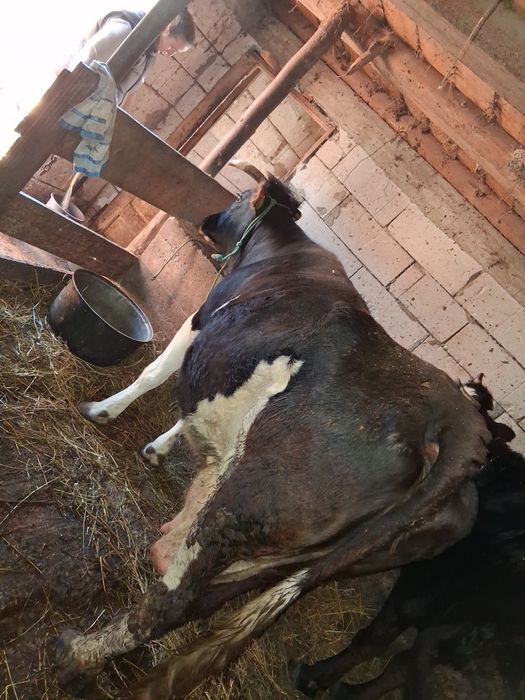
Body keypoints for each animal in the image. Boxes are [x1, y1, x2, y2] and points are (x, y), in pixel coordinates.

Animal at [55, 166, 490, 699]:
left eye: (240, 195)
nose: (206, 218)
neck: (282, 250)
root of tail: (457, 420)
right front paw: (160, 446)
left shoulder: (202, 317)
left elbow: (155, 372)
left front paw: (105, 411)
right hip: (309, 552)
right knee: (209, 597)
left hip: (250, 499)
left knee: (175, 600)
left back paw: (78, 653)